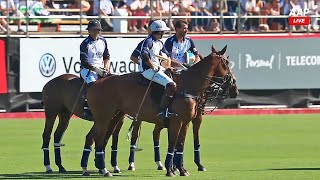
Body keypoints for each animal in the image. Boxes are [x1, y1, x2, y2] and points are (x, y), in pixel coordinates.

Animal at [86, 45, 236, 177]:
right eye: (226, 63)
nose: (234, 86)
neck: (189, 85)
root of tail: (94, 84)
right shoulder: (176, 121)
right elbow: (173, 144)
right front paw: (170, 170)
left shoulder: (186, 122)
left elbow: (180, 145)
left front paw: (182, 170)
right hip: (104, 117)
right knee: (99, 138)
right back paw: (104, 170)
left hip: (114, 116)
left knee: (101, 137)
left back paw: (100, 167)